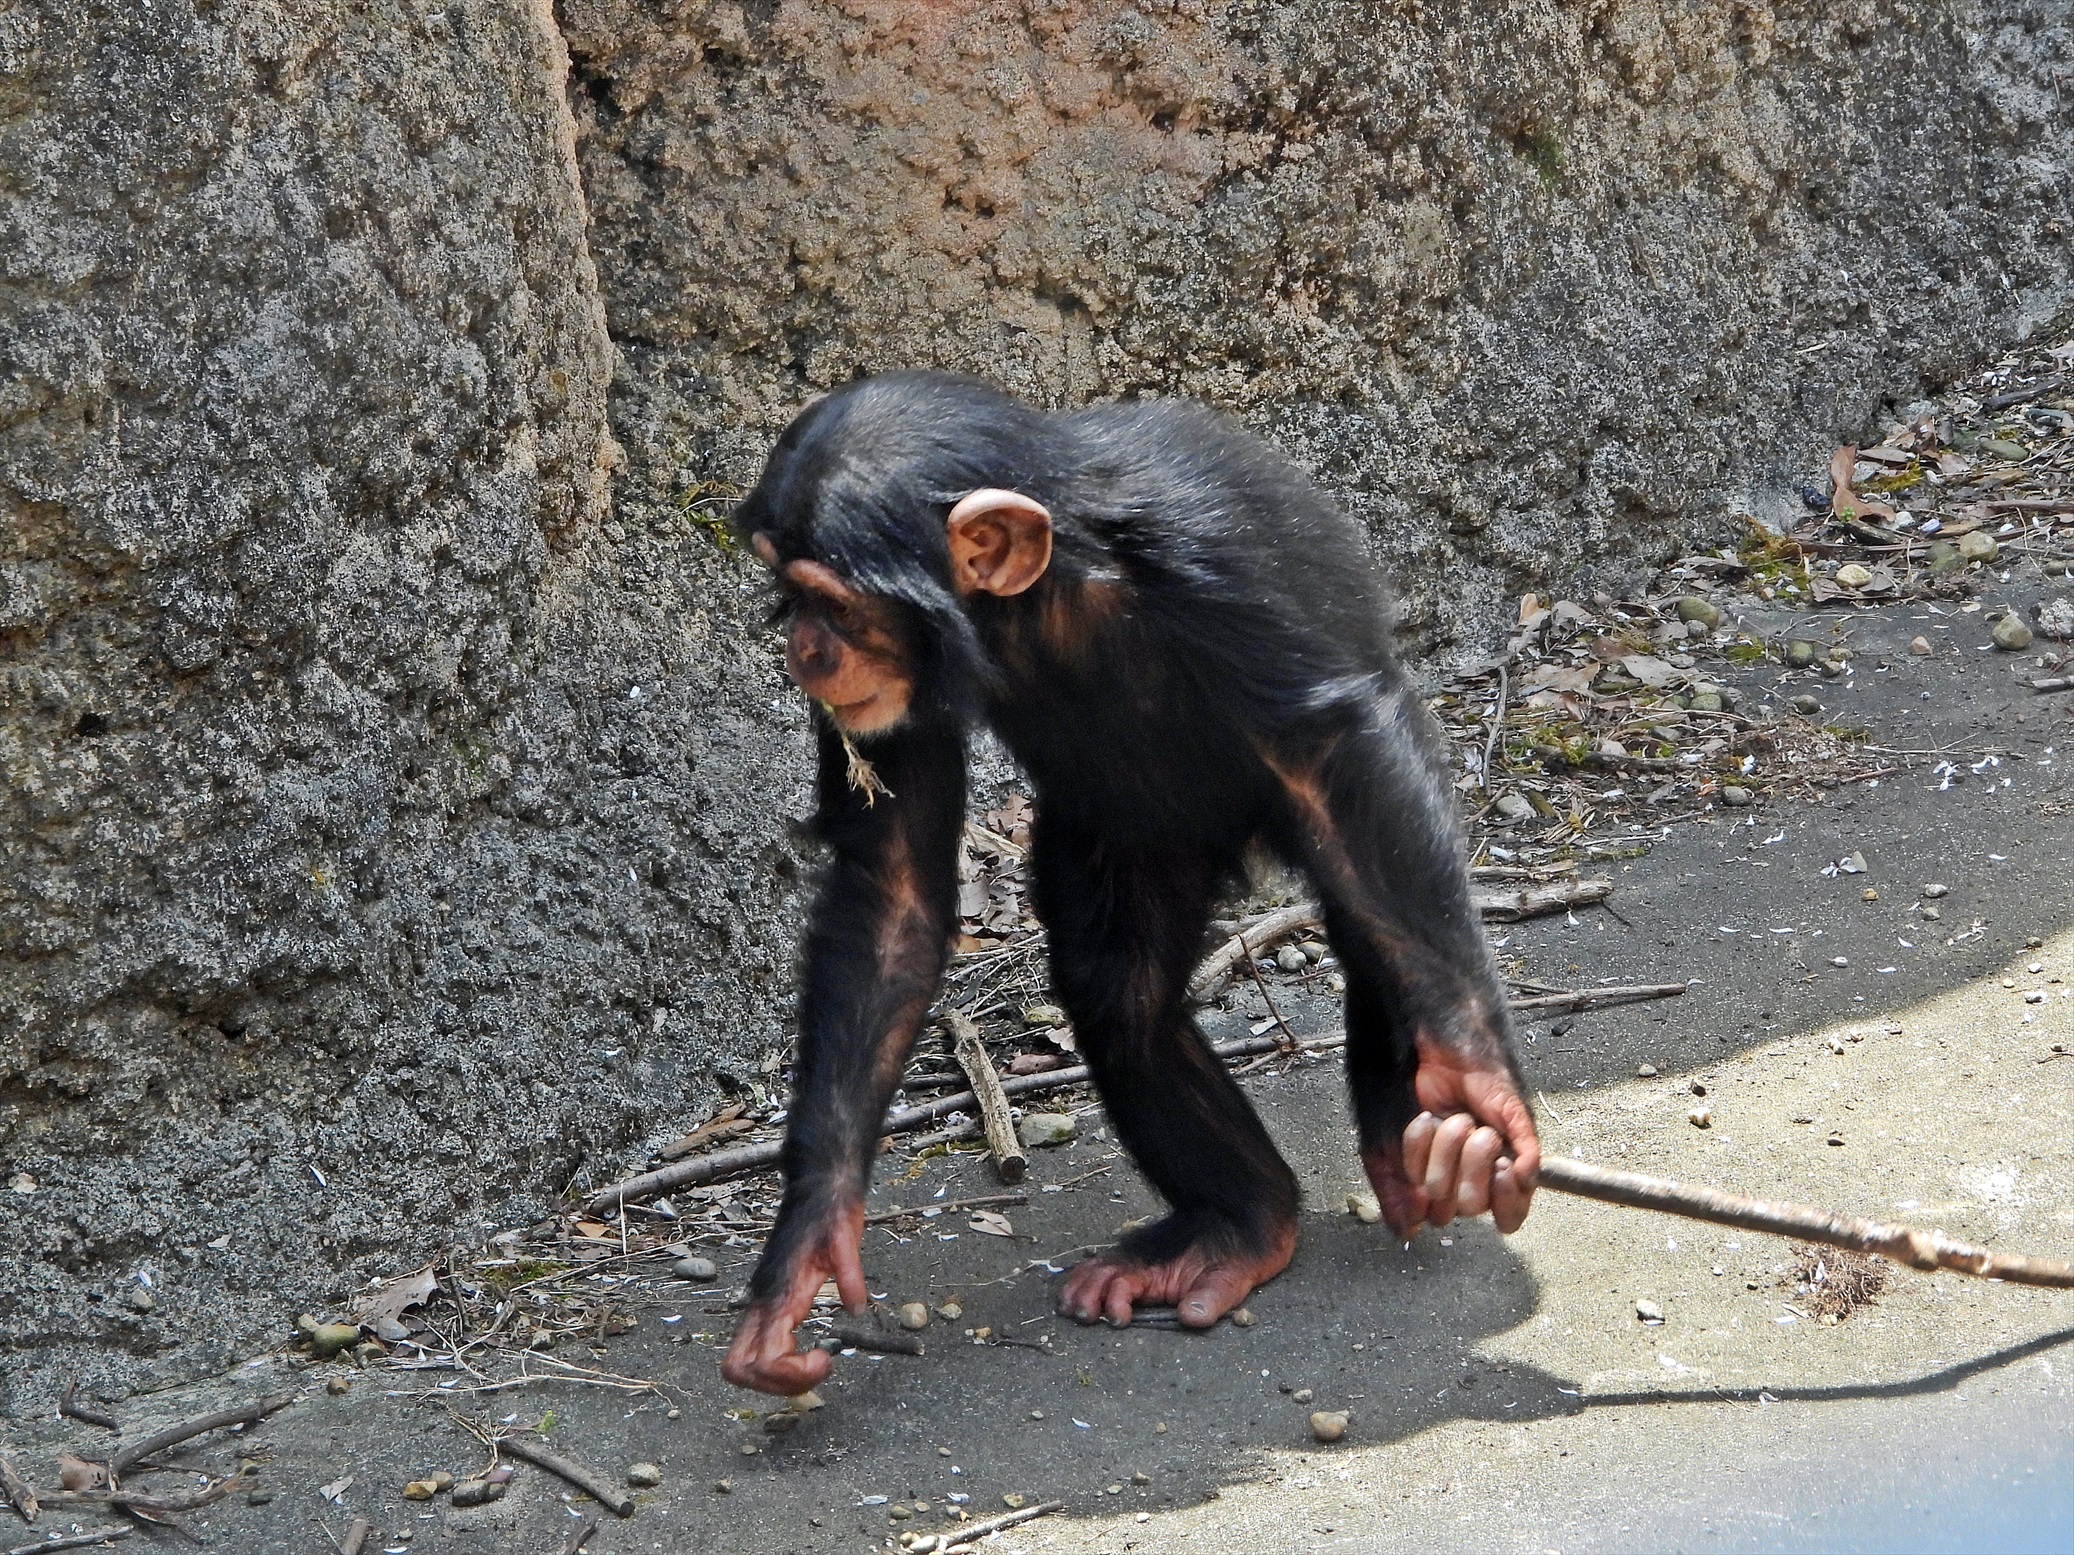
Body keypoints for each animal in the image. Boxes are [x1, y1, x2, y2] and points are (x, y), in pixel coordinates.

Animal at [717, 371, 1543, 1393]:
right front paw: (807, 1245)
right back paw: (1239, 1224)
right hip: (1139, 837)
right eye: (787, 595)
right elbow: (894, 883)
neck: (1043, 598)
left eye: (830, 602)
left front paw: (1474, 1078)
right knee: (1123, 994)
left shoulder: (1220, 555)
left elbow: (1332, 751)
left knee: (1379, 895)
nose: (804, 648)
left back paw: (1408, 1130)